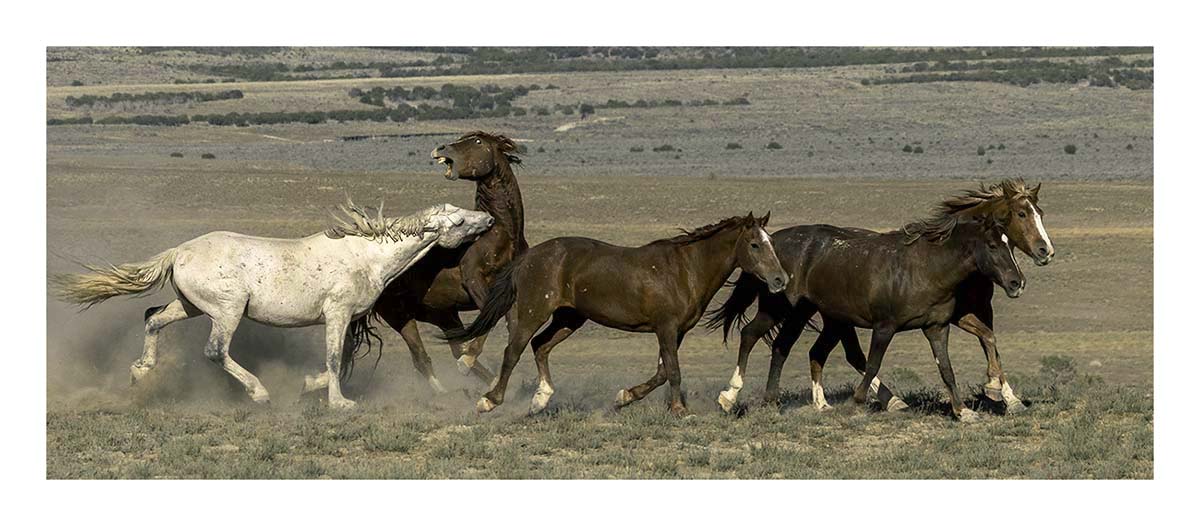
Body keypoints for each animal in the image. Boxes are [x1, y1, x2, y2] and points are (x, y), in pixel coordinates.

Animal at [52, 201, 493, 409]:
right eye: (457, 222)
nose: (487, 219)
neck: (367, 256)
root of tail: (178, 252)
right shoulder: (336, 315)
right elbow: (335, 358)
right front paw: (340, 403)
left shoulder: (349, 318)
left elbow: (344, 357)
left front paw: (310, 386)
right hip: (227, 312)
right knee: (215, 351)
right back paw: (259, 394)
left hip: (190, 306)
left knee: (153, 318)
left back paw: (140, 372)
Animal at [369, 131, 528, 394]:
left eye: (477, 141)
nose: (441, 148)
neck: (502, 234)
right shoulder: (475, 281)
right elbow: (491, 317)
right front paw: (469, 360)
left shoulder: (509, 291)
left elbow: (511, 323)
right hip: (399, 315)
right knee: (421, 357)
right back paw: (443, 392)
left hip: (442, 313)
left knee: (453, 349)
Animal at [445, 213, 790, 416]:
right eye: (755, 244)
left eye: (772, 243)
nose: (780, 280)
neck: (685, 270)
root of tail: (528, 257)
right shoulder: (666, 327)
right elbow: (673, 371)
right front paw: (679, 410)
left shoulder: (676, 331)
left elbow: (662, 371)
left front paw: (624, 396)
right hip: (534, 310)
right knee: (513, 351)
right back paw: (490, 400)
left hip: (569, 318)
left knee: (540, 346)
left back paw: (541, 399)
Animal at [708, 179, 1052, 415]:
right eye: (1022, 213)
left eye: (1041, 212)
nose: (1045, 252)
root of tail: (773, 240)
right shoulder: (931, 319)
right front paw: (996, 391)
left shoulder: (960, 317)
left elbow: (986, 343)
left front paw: (1003, 396)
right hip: (783, 309)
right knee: (753, 335)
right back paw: (731, 397)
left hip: (820, 315)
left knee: (803, 348)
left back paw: (814, 402)